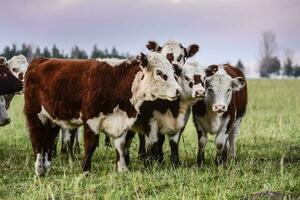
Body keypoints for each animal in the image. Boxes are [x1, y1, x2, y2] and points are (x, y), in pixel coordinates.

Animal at [23, 52, 182, 176]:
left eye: (173, 72)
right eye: (160, 73)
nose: (178, 91)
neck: (117, 82)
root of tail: (40, 60)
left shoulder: (120, 122)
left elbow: (120, 146)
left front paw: (122, 169)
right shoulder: (91, 120)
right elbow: (90, 146)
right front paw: (85, 170)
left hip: (52, 120)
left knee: (48, 142)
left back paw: (47, 168)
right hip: (34, 115)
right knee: (37, 141)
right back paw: (39, 170)